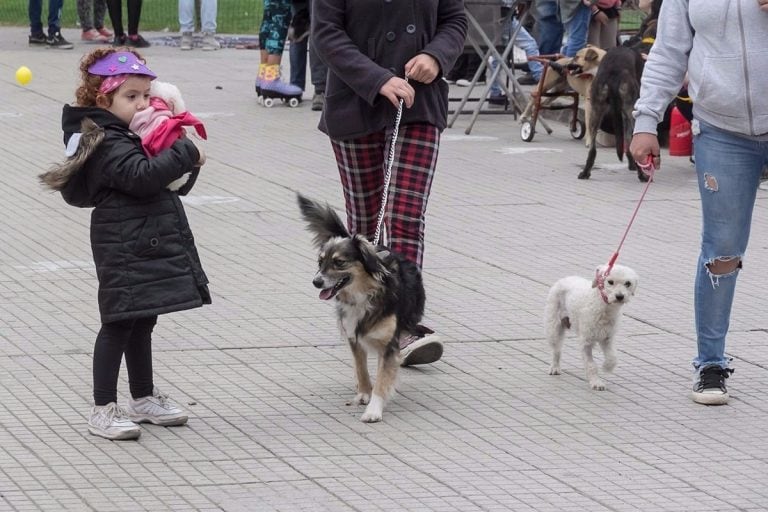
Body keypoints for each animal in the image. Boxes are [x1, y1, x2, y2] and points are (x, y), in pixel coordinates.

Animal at [296, 194, 426, 422]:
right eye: (320, 262)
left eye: (339, 262)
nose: (316, 282)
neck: (363, 294)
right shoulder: (353, 336)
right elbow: (361, 368)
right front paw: (364, 393)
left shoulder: (389, 345)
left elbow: (383, 378)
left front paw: (374, 410)